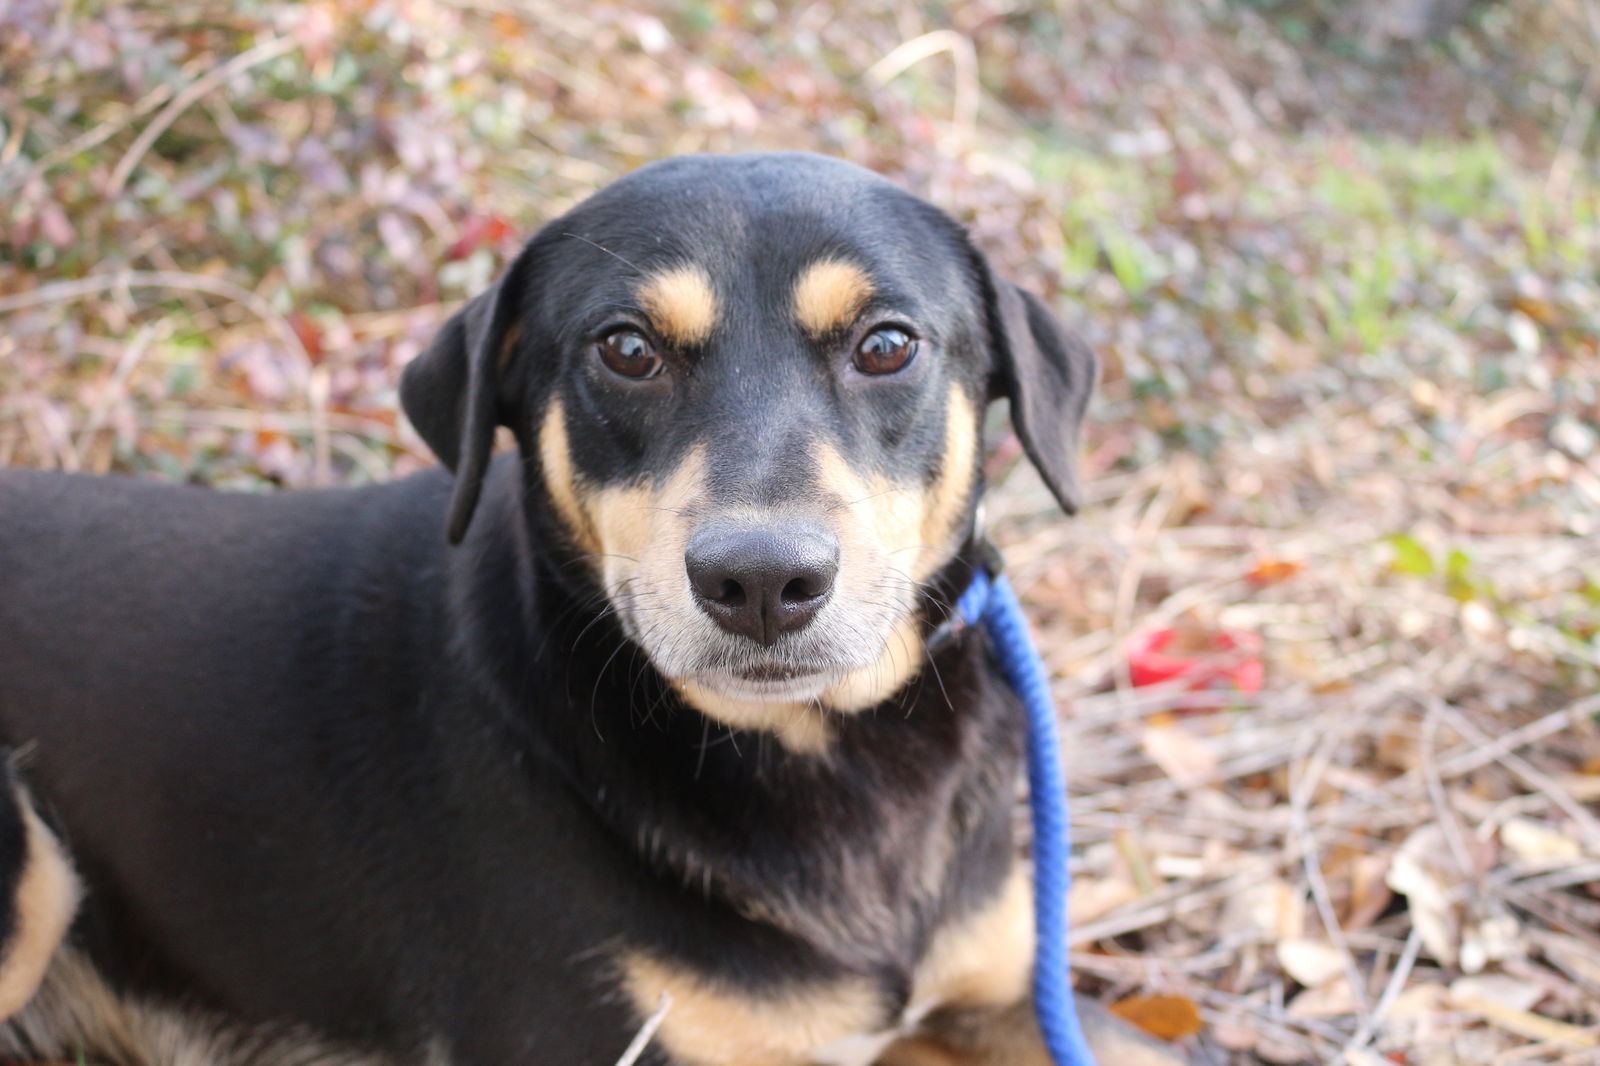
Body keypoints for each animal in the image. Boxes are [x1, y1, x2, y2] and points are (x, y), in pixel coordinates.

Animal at [0, 153, 1184, 1056]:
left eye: (887, 344)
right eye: (627, 348)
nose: (763, 582)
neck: (812, 753)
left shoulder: (1008, 991)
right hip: (32, 873)